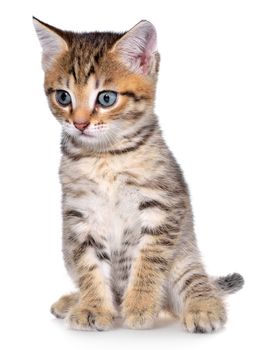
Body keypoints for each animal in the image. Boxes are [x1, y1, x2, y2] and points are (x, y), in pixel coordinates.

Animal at [33, 16, 245, 332]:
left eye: (106, 98)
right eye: (63, 96)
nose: (80, 123)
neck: (104, 157)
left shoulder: (163, 207)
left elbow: (148, 260)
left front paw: (141, 305)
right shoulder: (79, 216)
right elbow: (88, 267)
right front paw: (92, 307)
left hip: (183, 258)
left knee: (197, 281)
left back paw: (203, 308)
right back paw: (75, 301)